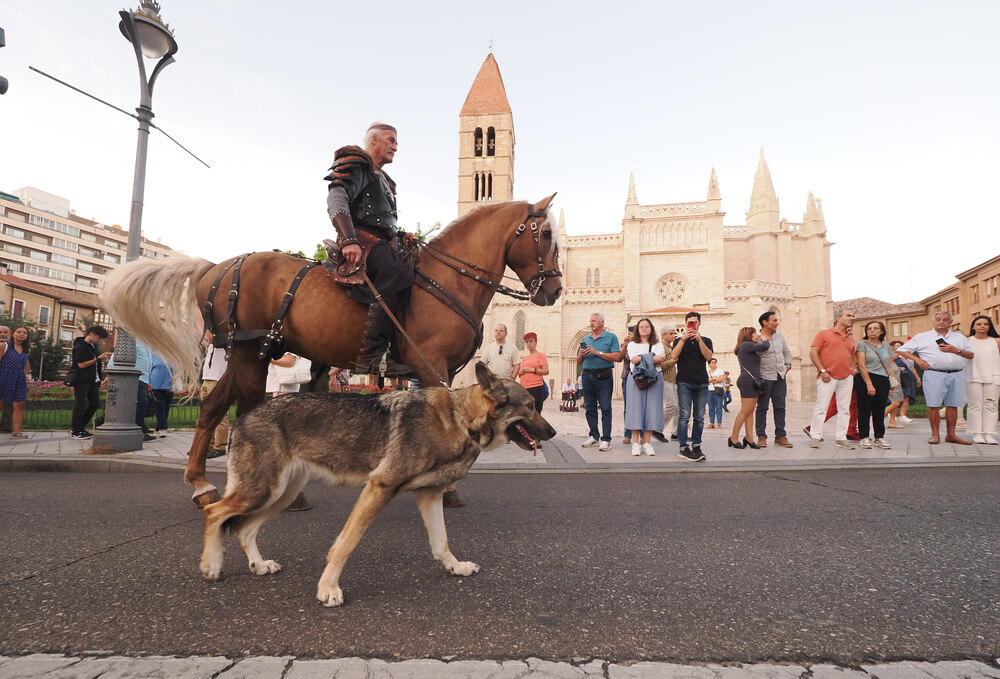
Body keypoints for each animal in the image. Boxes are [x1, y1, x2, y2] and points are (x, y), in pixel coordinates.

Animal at [105, 194, 568, 508]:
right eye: (546, 234)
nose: (555, 291)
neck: (447, 280)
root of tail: (217, 267)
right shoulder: (430, 365)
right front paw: (443, 487)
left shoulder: (446, 370)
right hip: (252, 353)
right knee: (246, 411)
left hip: (241, 356)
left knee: (213, 407)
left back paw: (202, 484)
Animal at [195, 364, 556, 608]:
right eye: (531, 406)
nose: (552, 432)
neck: (459, 418)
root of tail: (242, 417)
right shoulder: (378, 489)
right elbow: (344, 546)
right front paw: (328, 589)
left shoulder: (430, 496)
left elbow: (441, 543)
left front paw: (455, 567)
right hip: (263, 491)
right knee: (214, 511)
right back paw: (211, 565)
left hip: (281, 495)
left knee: (244, 528)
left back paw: (259, 565)